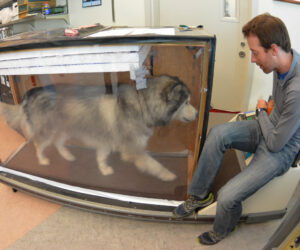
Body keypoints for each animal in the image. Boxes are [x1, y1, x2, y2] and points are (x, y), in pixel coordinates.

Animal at [0, 75, 199, 181]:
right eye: (186, 102)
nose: (198, 114)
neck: (142, 104)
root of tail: (31, 92)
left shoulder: (106, 140)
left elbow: (101, 157)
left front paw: (103, 169)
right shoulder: (133, 150)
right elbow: (154, 164)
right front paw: (168, 175)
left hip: (65, 128)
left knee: (58, 143)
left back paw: (68, 156)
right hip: (48, 131)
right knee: (38, 144)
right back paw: (42, 160)